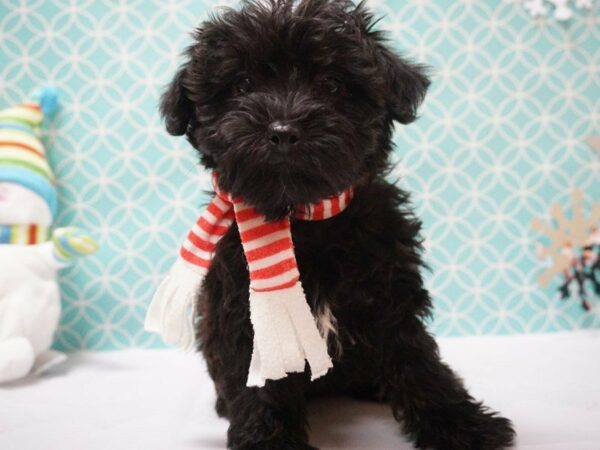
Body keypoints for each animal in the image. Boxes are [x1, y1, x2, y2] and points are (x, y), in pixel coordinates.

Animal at [161, 1, 516, 448]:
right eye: (242, 84)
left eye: (331, 85)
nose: (282, 131)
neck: (307, 220)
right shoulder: (245, 315)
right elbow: (258, 383)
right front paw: (268, 440)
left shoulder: (393, 299)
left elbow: (419, 363)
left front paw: (461, 424)